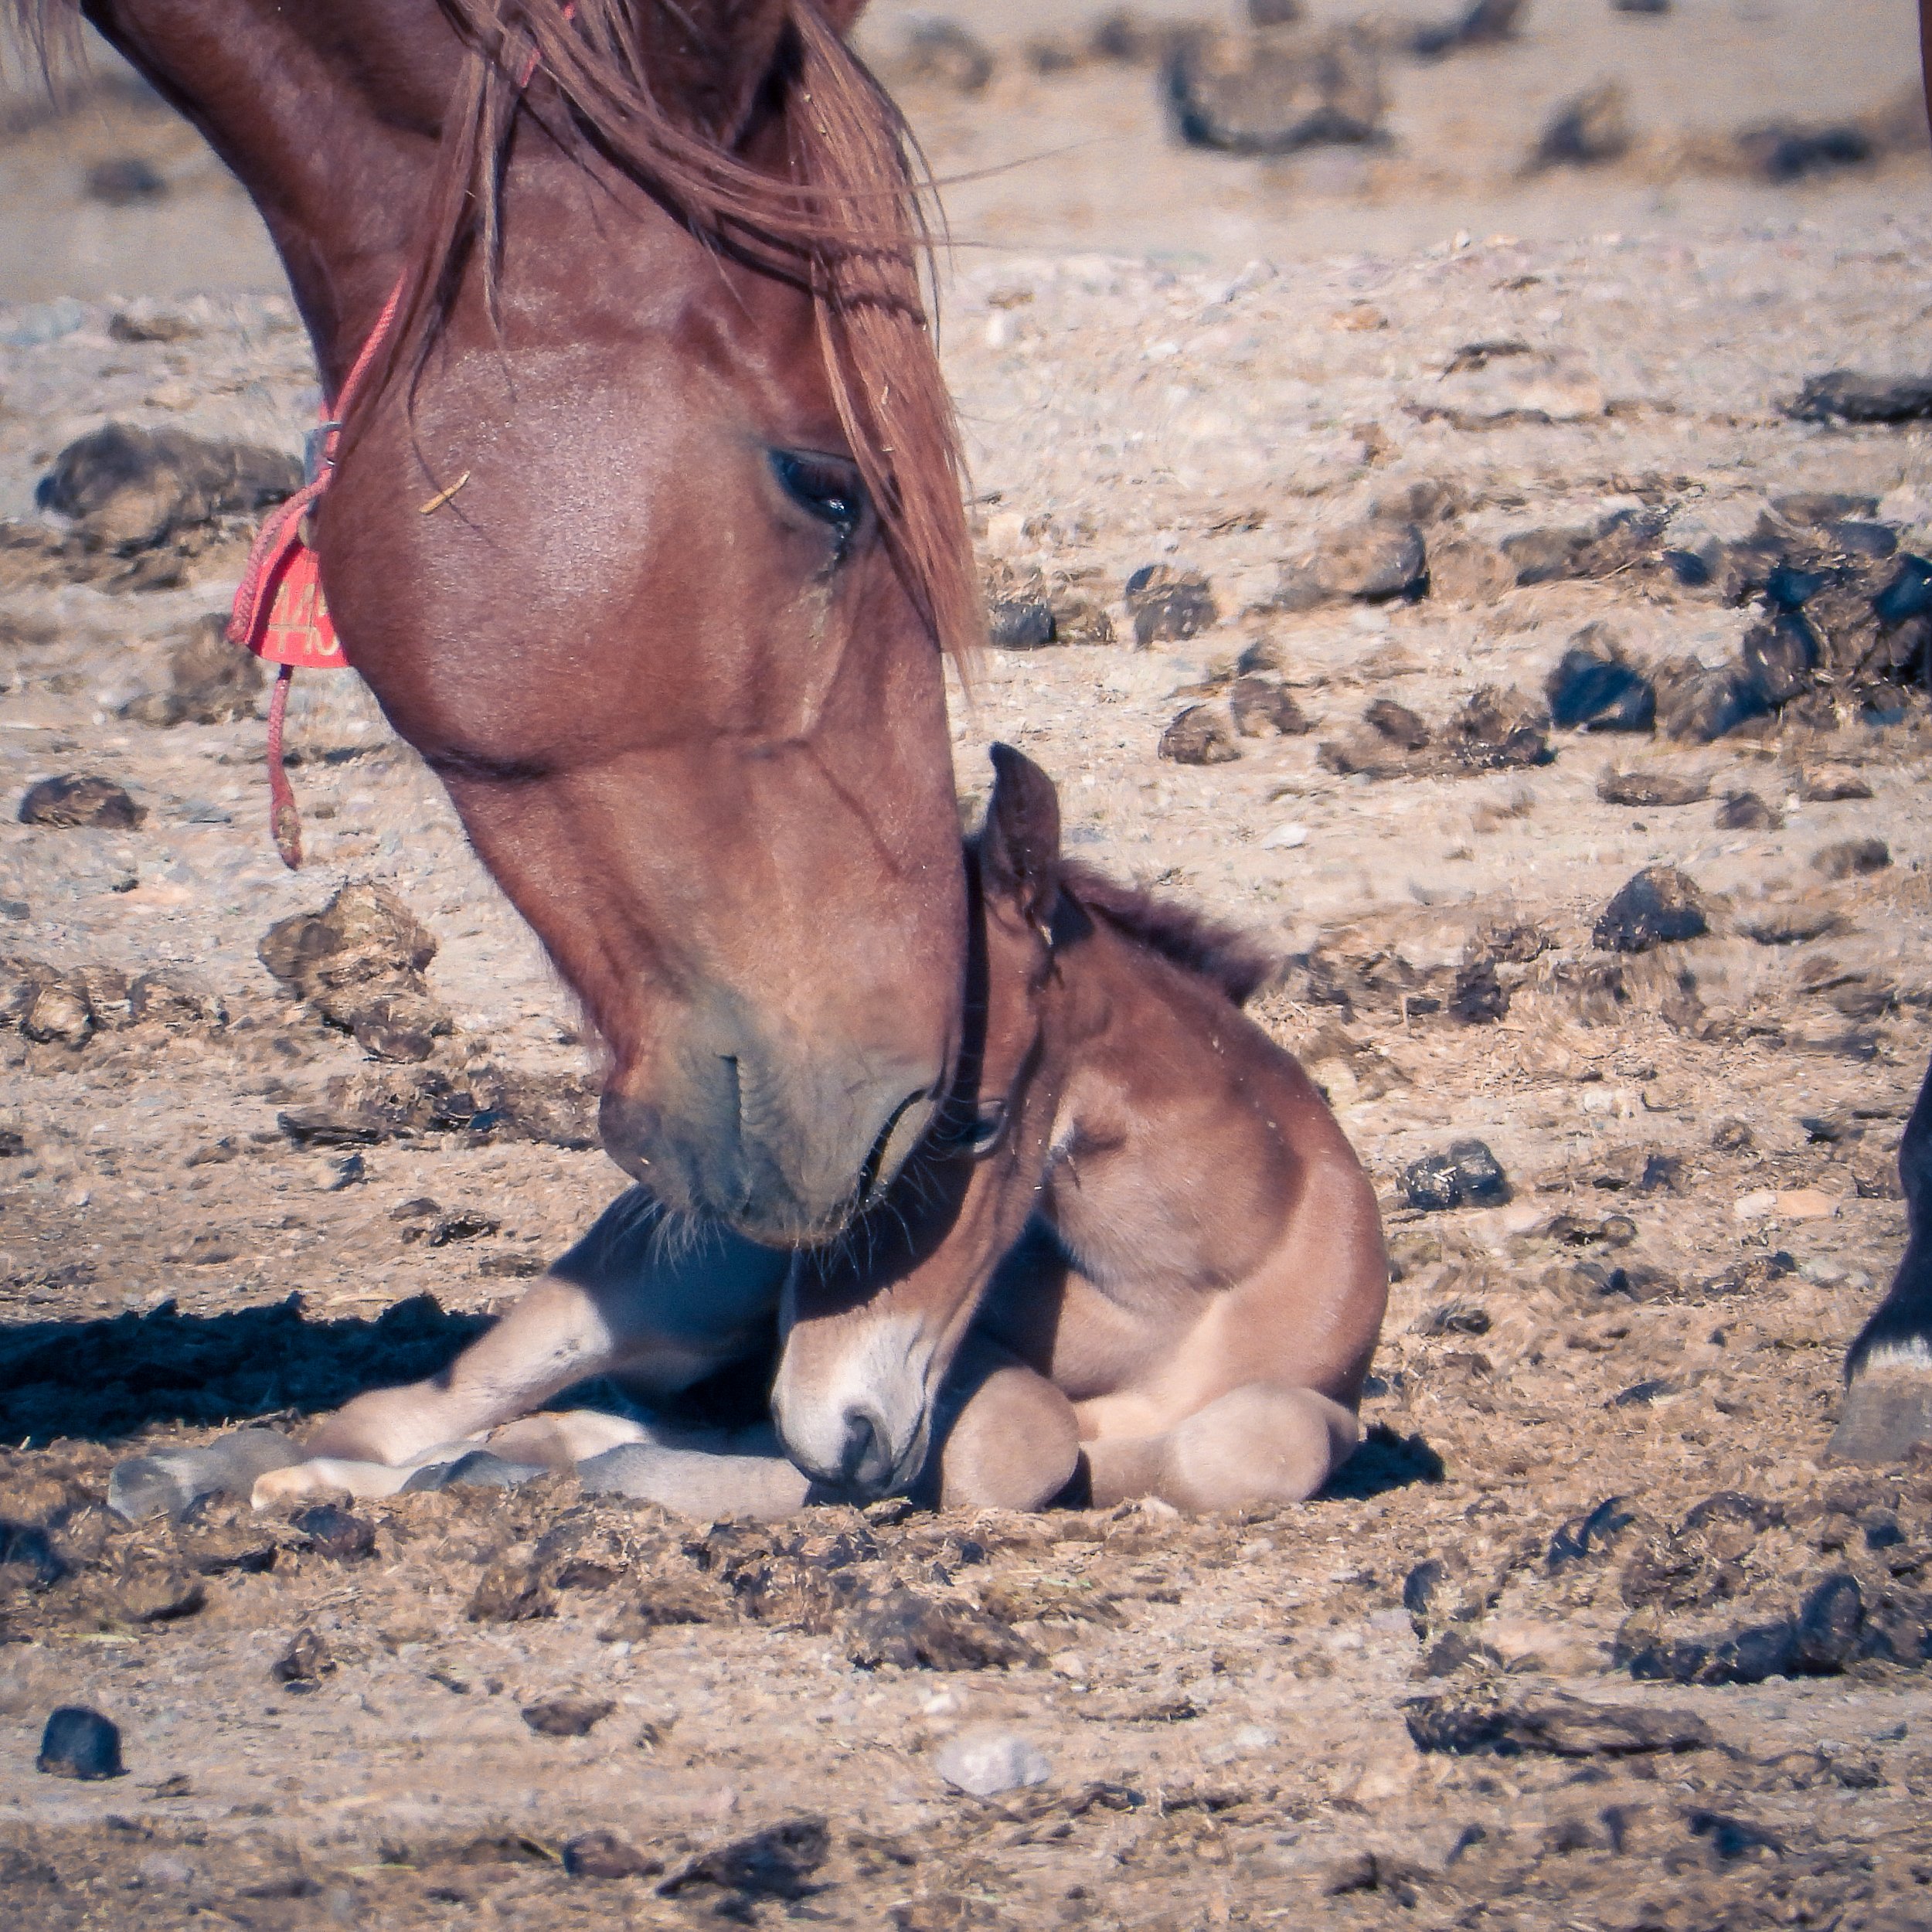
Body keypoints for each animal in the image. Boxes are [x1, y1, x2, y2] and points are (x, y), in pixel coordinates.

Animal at [245, 744, 1388, 1517]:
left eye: (974, 1124)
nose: (837, 1433)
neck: (1189, 1293)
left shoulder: (1323, 1406)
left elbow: (1266, 1438)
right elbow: (1023, 1437)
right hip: (662, 1290)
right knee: (409, 1415)